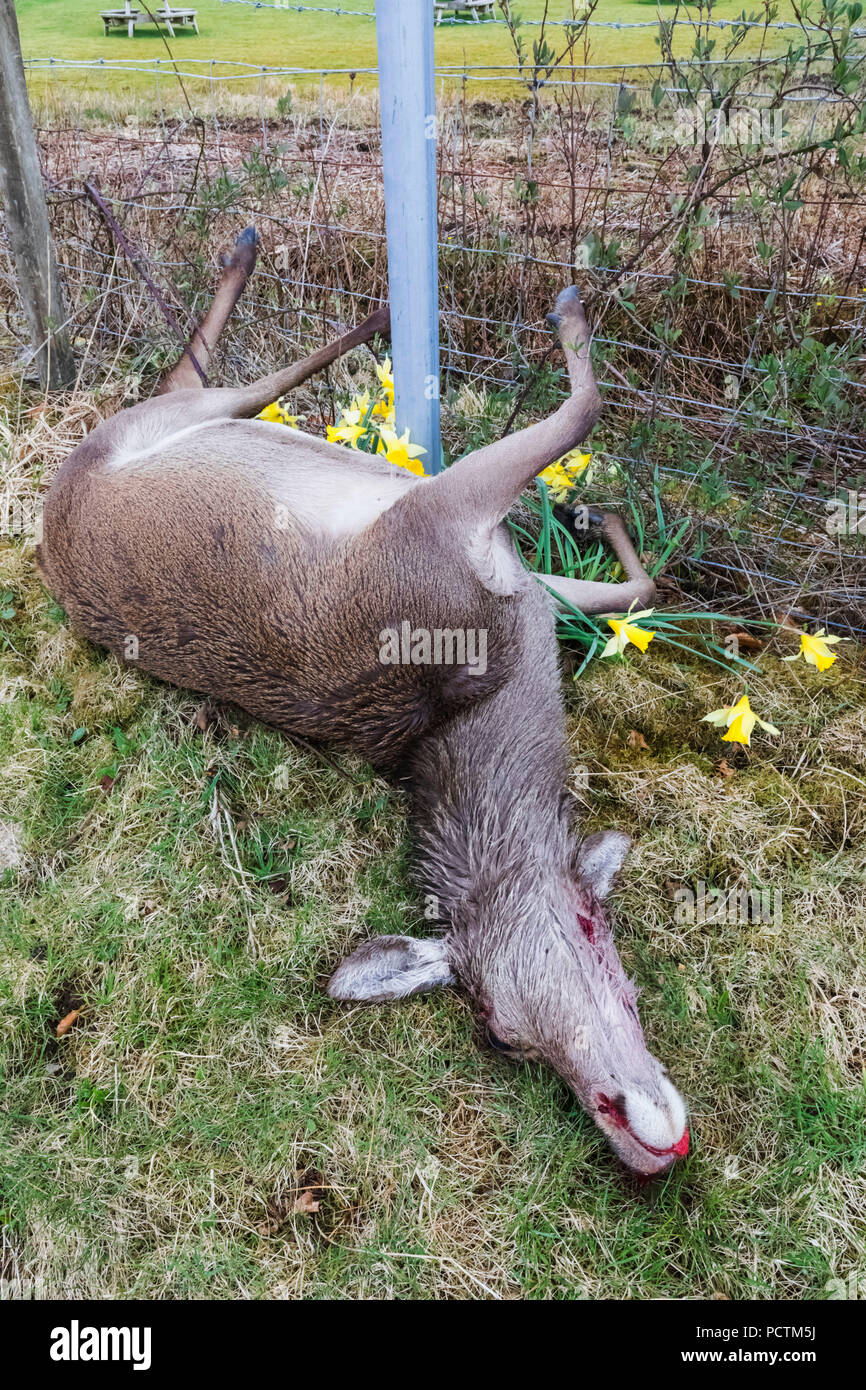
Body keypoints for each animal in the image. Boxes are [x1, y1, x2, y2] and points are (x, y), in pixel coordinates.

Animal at [38, 228, 689, 1177]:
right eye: (502, 1033)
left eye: (592, 927)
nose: (639, 1138)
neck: (487, 698)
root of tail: (47, 513)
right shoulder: (445, 517)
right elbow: (588, 412)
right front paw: (571, 318)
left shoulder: (502, 565)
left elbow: (639, 585)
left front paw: (596, 509)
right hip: (156, 430)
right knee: (214, 380)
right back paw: (323, 288)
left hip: (171, 424)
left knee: (195, 375)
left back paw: (324, 290)